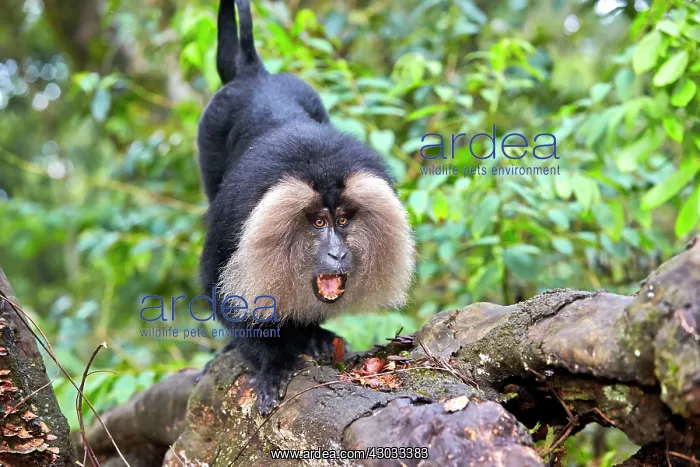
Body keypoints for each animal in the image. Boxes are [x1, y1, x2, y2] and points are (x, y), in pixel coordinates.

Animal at [197, 0, 415, 415]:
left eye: (342, 220)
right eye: (317, 223)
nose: (337, 253)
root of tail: (254, 74)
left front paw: (311, 336)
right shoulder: (236, 219)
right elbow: (222, 291)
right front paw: (276, 362)